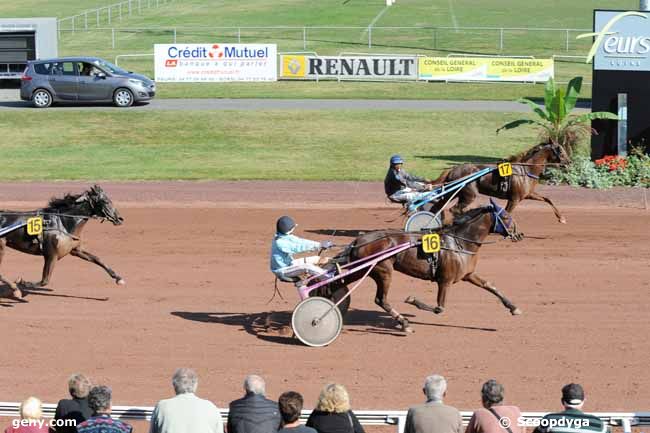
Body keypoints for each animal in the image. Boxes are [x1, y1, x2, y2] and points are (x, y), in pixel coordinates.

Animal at [330, 201, 520, 332]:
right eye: (506, 217)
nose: (519, 234)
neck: (459, 243)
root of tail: (358, 240)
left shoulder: (467, 275)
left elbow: (490, 285)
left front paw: (514, 308)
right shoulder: (445, 280)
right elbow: (439, 308)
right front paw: (412, 300)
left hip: (362, 269)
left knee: (338, 283)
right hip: (383, 271)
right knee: (380, 299)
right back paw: (404, 323)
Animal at [430, 143, 568, 223]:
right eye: (561, 151)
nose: (569, 162)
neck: (526, 171)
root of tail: (453, 169)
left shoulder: (528, 194)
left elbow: (547, 199)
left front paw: (561, 218)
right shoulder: (514, 199)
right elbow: (506, 214)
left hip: (453, 192)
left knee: (437, 207)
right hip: (468, 195)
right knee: (454, 209)